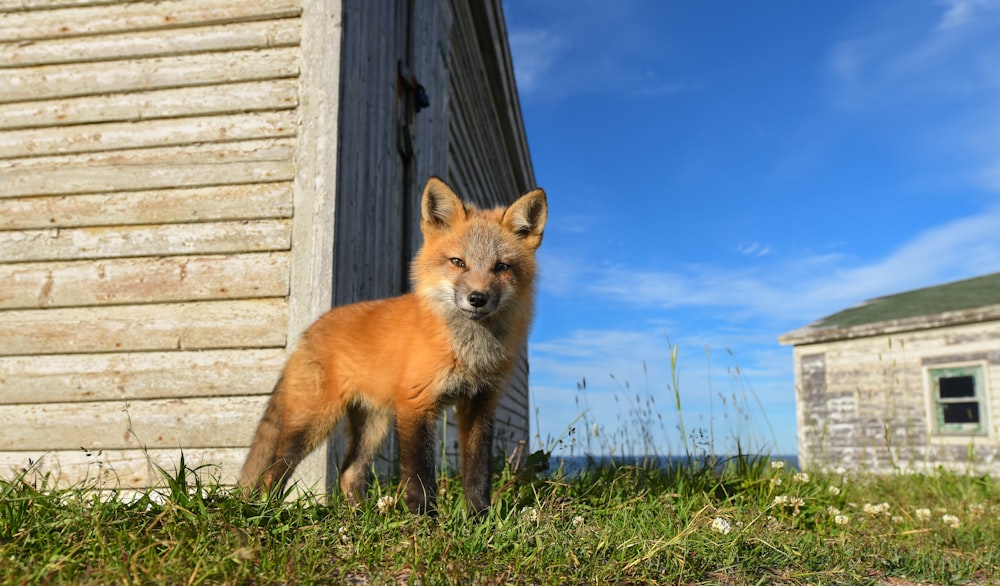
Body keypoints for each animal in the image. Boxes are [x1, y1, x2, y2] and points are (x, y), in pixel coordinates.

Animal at [241, 177, 548, 512]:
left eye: (501, 267)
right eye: (458, 262)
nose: (477, 298)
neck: (469, 352)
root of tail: (309, 329)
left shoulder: (480, 404)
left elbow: (479, 474)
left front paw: (480, 517)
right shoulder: (415, 403)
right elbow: (420, 477)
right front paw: (425, 521)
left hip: (374, 426)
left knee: (349, 472)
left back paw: (360, 516)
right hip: (313, 422)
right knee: (274, 471)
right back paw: (267, 511)